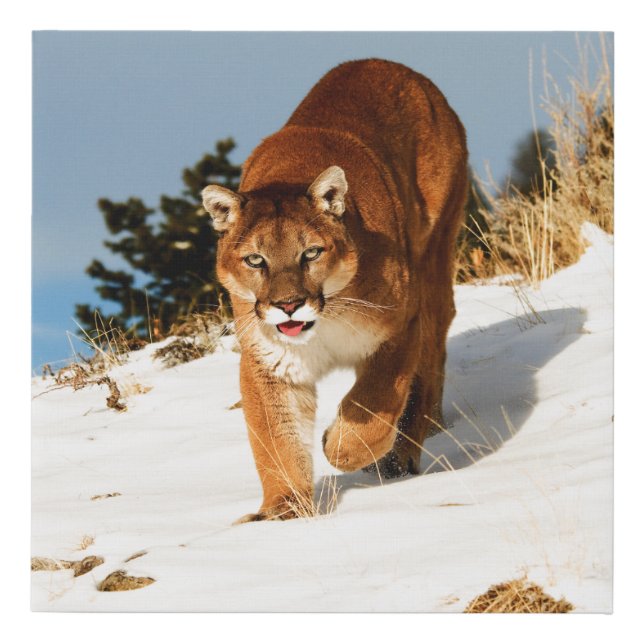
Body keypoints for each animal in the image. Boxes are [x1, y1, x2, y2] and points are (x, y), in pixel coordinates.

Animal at [202, 59, 468, 522]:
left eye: (310, 252)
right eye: (255, 260)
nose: (288, 305)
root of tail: (386, 63)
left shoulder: (401, 326)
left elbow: (372, 405)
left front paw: (340, 446)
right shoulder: (268, 361)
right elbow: (276, 440)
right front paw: (284, 510)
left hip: (434, 257)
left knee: (430, 361)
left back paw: (403, 453)